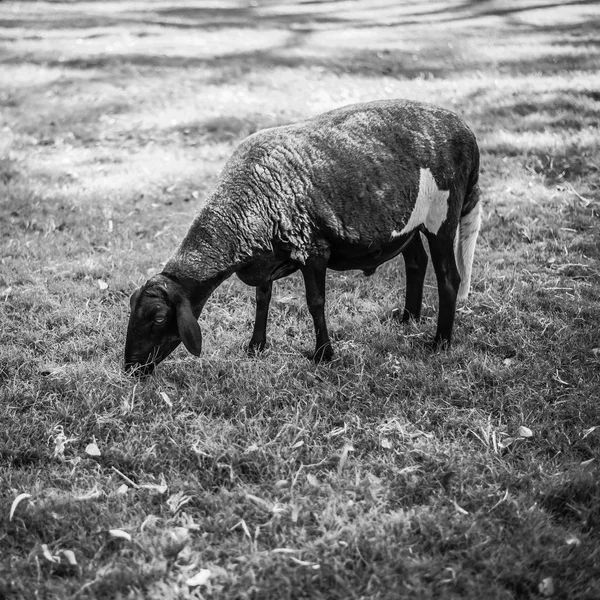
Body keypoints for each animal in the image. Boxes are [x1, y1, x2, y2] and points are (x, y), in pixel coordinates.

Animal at [124, 98, 480, 376]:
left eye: (159, 317)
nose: (131, 368)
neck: (243, 208)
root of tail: (465, 131)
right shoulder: (265, 257)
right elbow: (262, 298)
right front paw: (256, 346)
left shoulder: (313, 250)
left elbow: (315, 302)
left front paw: (323, 355)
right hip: (407, 223)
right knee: (416, 261)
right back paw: (407, 318)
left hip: (442, 215)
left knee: (449, 278)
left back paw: (440, 343)